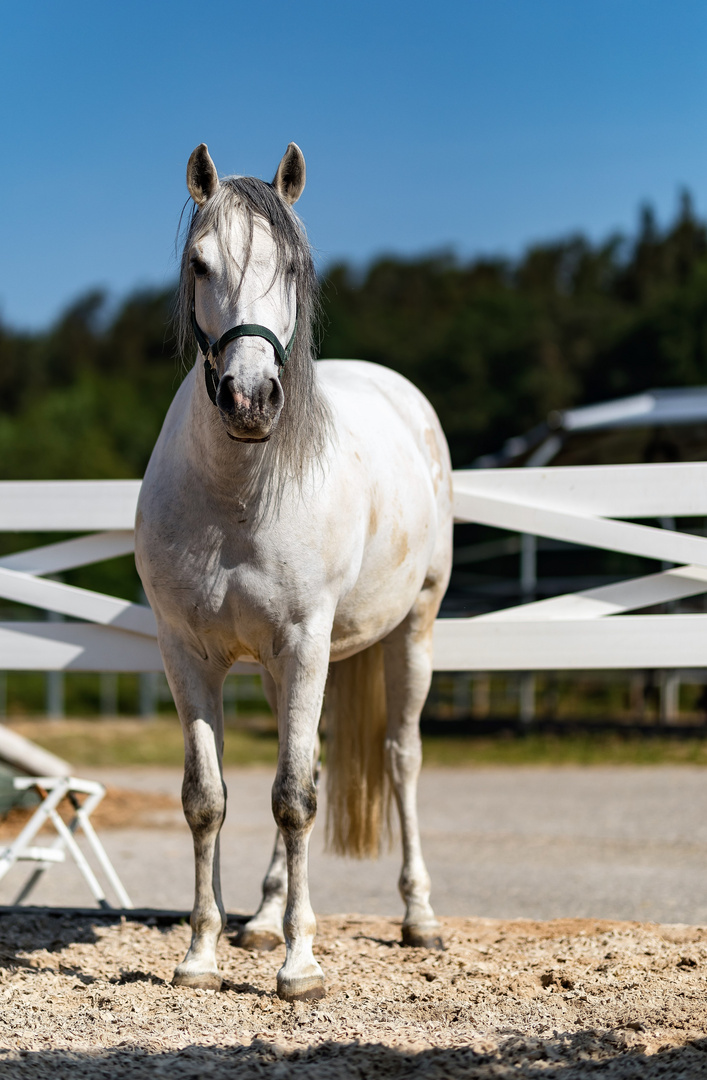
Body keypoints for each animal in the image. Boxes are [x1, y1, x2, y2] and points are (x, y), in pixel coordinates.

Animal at [134, 143, 453, 1002]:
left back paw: (418, 919)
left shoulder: (307, 643)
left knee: (402, 759)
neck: (237, 500)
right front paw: (201, 954)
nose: (250, 399)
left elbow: (295, 800)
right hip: (283, 667)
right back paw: (262, 919)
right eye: (199, 262)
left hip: (410, 633)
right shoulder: (186, 654)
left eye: (292, 267)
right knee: (296, 752)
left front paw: (300, 965)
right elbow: (207, 800)